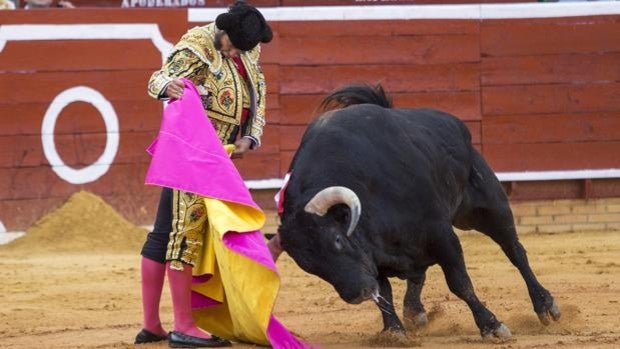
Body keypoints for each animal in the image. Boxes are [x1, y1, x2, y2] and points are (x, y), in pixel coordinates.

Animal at [276, 83, 560, 338]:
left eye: (336, 239)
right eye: (308, 265)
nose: (357, 294)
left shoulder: (441, 234)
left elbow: (460, 283)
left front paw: (491, 326)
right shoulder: (374, 253)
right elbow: (385, 291)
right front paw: (394, 332)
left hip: (486, 208)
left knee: (515, 251)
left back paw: (545, 305)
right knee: (419, 271)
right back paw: (414, 312)